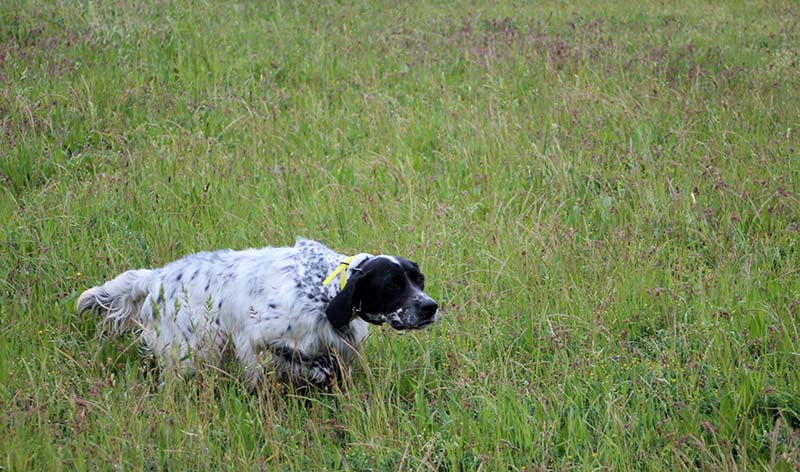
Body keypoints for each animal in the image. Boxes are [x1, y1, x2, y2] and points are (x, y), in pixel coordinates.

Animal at [76, 238, 438, 390]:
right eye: (392, 285)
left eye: (418, 280)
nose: (430, 307)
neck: (322, 287)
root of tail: (154, 278)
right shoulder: (257, 339)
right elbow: (306, 363)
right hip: (191, 351)